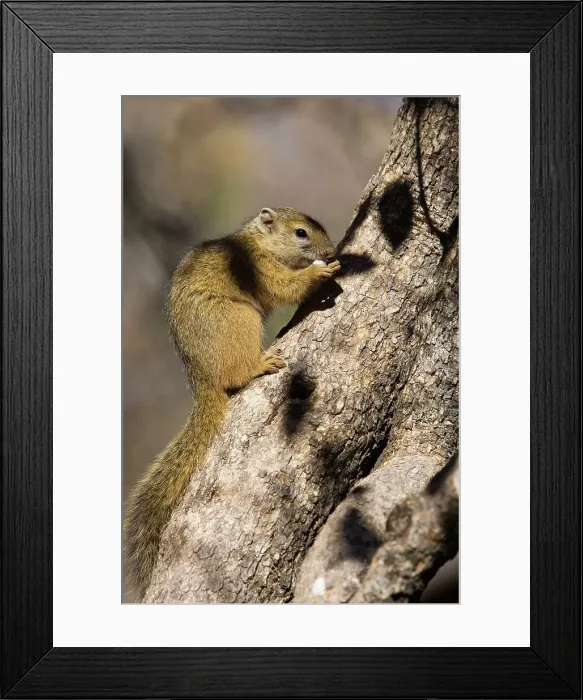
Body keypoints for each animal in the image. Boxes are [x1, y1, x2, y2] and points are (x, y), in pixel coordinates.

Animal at [124, 207, 340, 600]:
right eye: (301, 233)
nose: (330, 251)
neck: (259, 244)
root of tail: (203, 379)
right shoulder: (257, 269)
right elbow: (283, 287)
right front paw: (318, 272)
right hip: (239, 320)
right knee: (236, 374)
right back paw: (259, 364)